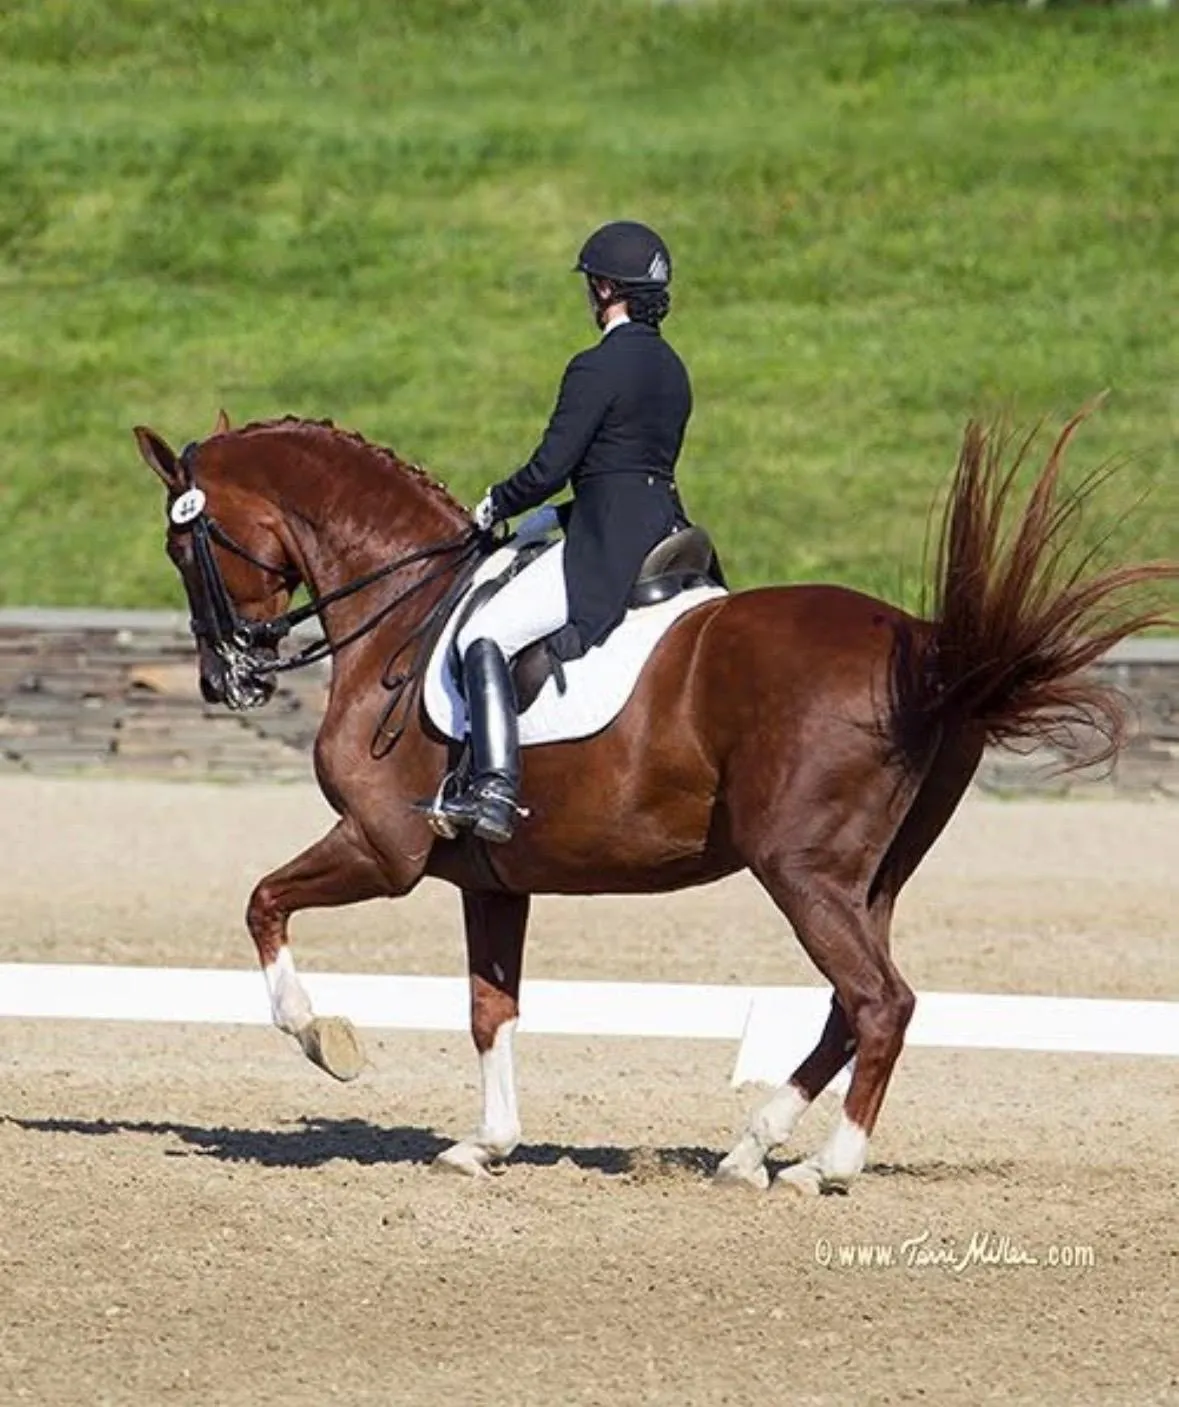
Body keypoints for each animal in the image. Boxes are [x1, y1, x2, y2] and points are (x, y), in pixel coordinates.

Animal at [132, 408, 1173, 1194]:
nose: (226, 681)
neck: (407, 609)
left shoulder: (383, 848)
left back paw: (824, 1166)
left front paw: (325, 1038)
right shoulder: (490, 878)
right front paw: (484, 1143)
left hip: (799, 871)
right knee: (850, 1004)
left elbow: (262, 902)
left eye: (183, 542)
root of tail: (926, 652)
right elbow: (489, 1008)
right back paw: (751, 1148)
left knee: (880, 1001)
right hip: (867, 879)